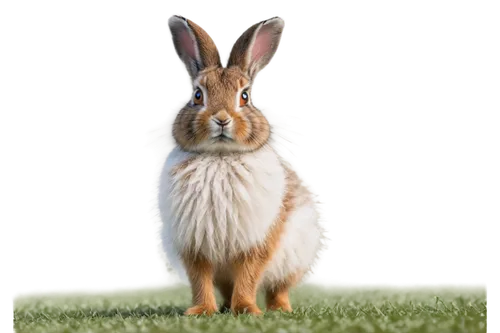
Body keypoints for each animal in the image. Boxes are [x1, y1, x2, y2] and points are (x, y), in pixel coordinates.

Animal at [146, 14, 330, 316]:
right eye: (198, 95)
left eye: (244, 96)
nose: (221, 119)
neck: (221, 156)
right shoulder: (193, 246)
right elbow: (200, 280)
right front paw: (200, 311)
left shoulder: (258, 242)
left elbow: (248, 277)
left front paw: (247, 310)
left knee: (278, 288)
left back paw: (279, 310)